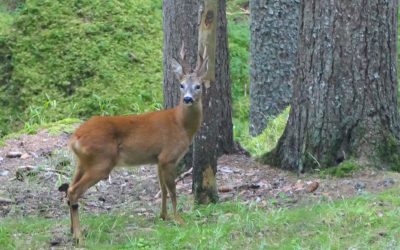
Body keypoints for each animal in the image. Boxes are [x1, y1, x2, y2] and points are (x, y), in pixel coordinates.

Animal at [60, 46, 209, 243]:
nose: (188, 99)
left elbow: (162, 188)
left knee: (69, 189)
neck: (181, 124)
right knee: (73, 191)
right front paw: (179, 220)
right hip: (101, 162)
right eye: (182, 85)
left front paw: (164, 216)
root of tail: (75, 137)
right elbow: (173, 190)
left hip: (82, 162)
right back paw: (79, 237)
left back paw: (72, 231)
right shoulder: (168, 156)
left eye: (198, 86)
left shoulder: (157, 159)